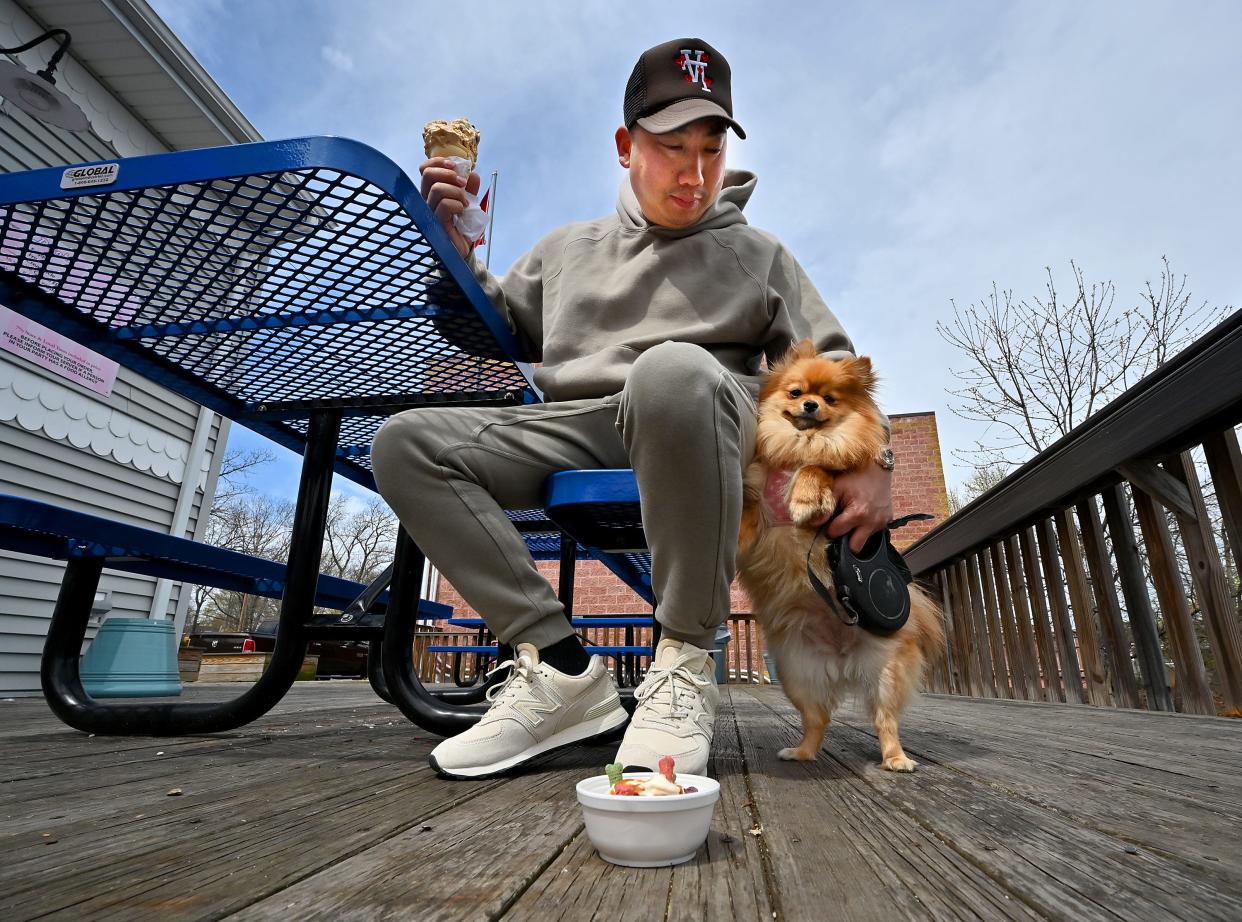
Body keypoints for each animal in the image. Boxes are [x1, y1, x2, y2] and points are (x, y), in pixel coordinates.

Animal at [735, 340, 938, 770]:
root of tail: (842, 657)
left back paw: (897, 759)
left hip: (885, 674)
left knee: (885, 721)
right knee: (817, 721)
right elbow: (747, 509)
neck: (799, 443)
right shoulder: (757, 491)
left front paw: (805, 497)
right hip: (798, 674)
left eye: (829, 399)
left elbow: (820, 468)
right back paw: (801, 752)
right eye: (796, 393)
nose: (811, 405)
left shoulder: (836, 490)